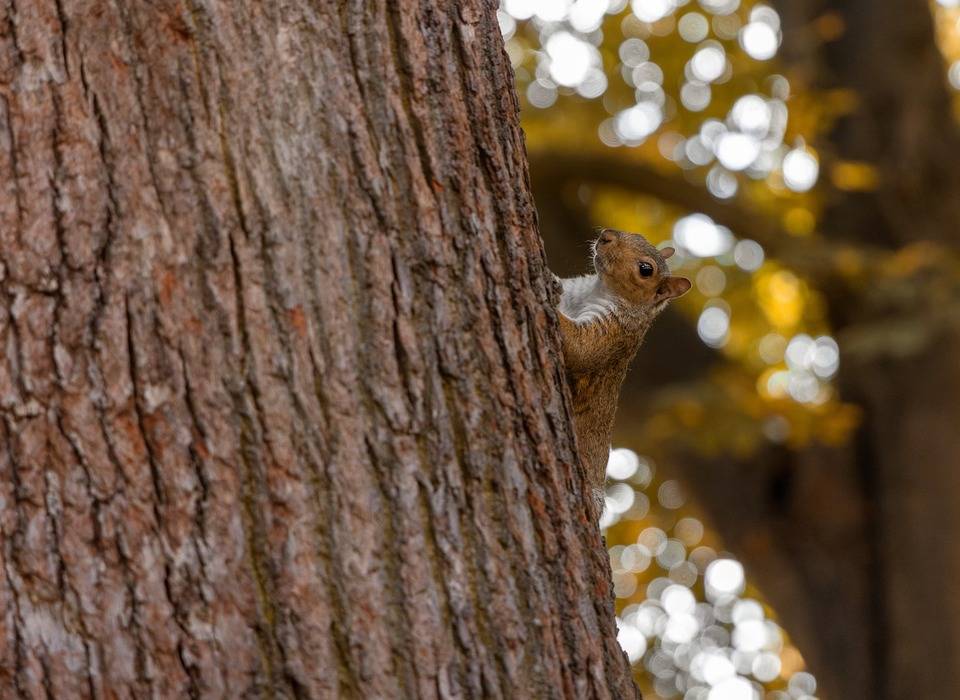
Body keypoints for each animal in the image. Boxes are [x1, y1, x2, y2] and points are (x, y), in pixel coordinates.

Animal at [556, 228, 688, 504]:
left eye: (646, 269)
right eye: (638, 235)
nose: (607, 235)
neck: (599, 289)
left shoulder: (614, 331)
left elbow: (581, 348)